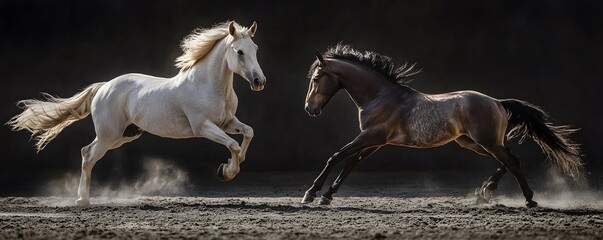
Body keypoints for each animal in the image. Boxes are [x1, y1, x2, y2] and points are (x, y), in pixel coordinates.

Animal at [7, 20, 266, 205]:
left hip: (125, 135)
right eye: (239, 52)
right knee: (88, 156)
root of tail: (104, 86)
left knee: (85, 152)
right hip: (109, 135)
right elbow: (232, 144)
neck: (207, 85)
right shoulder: (203, 127)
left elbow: (248, 133)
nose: (259, 82)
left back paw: (83, 198)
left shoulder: (227, 122)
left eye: (255, 48)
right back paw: (83, 201)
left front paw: (230, 166)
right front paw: (227, 172)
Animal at [304, 44, 584, 207]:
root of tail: (497, 102)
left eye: (317, 78)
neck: (380, 95)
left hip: (485, 142)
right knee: (508, 161)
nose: (309, 109)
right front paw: (327, 195)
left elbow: (336, 157)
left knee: (512, 162)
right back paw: (484, 191)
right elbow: (350, 164)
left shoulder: (372, 136)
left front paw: (312, 193)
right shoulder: (375, 141)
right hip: (474, 142)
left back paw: (528, 200)